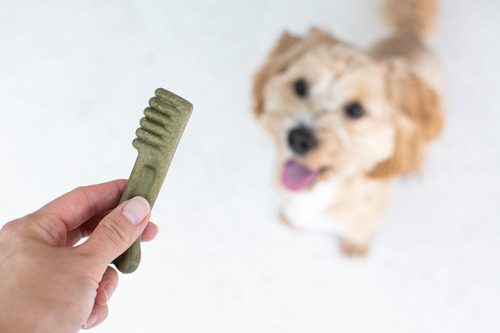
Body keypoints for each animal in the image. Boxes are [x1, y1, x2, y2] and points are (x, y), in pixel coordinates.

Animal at [252, 0, 444, 254]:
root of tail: (409, 34)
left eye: (355, 110)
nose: (299, 138)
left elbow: (357, 233)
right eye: (300, 86)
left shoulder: (364, 219)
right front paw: (290, 222)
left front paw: (354, 248)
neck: (325, 189)